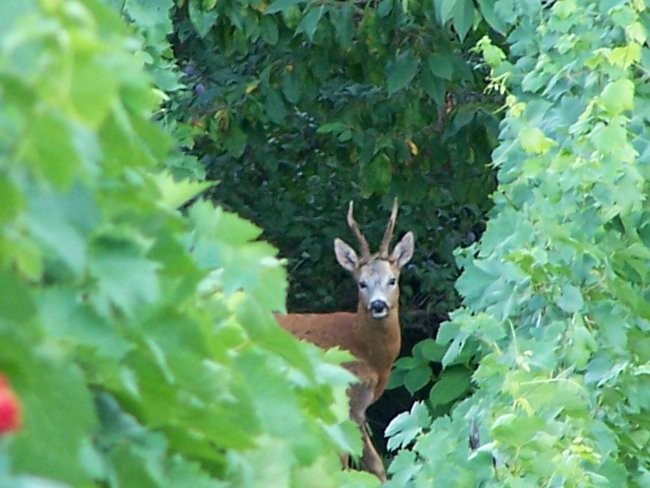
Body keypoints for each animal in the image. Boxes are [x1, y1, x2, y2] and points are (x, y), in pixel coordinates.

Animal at [276, 199, 412, 480]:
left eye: (392, 280)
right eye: (362, 283)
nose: (378, 305)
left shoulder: (358, 409)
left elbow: (373, 464)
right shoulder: (345, 398)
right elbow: (348, 462)